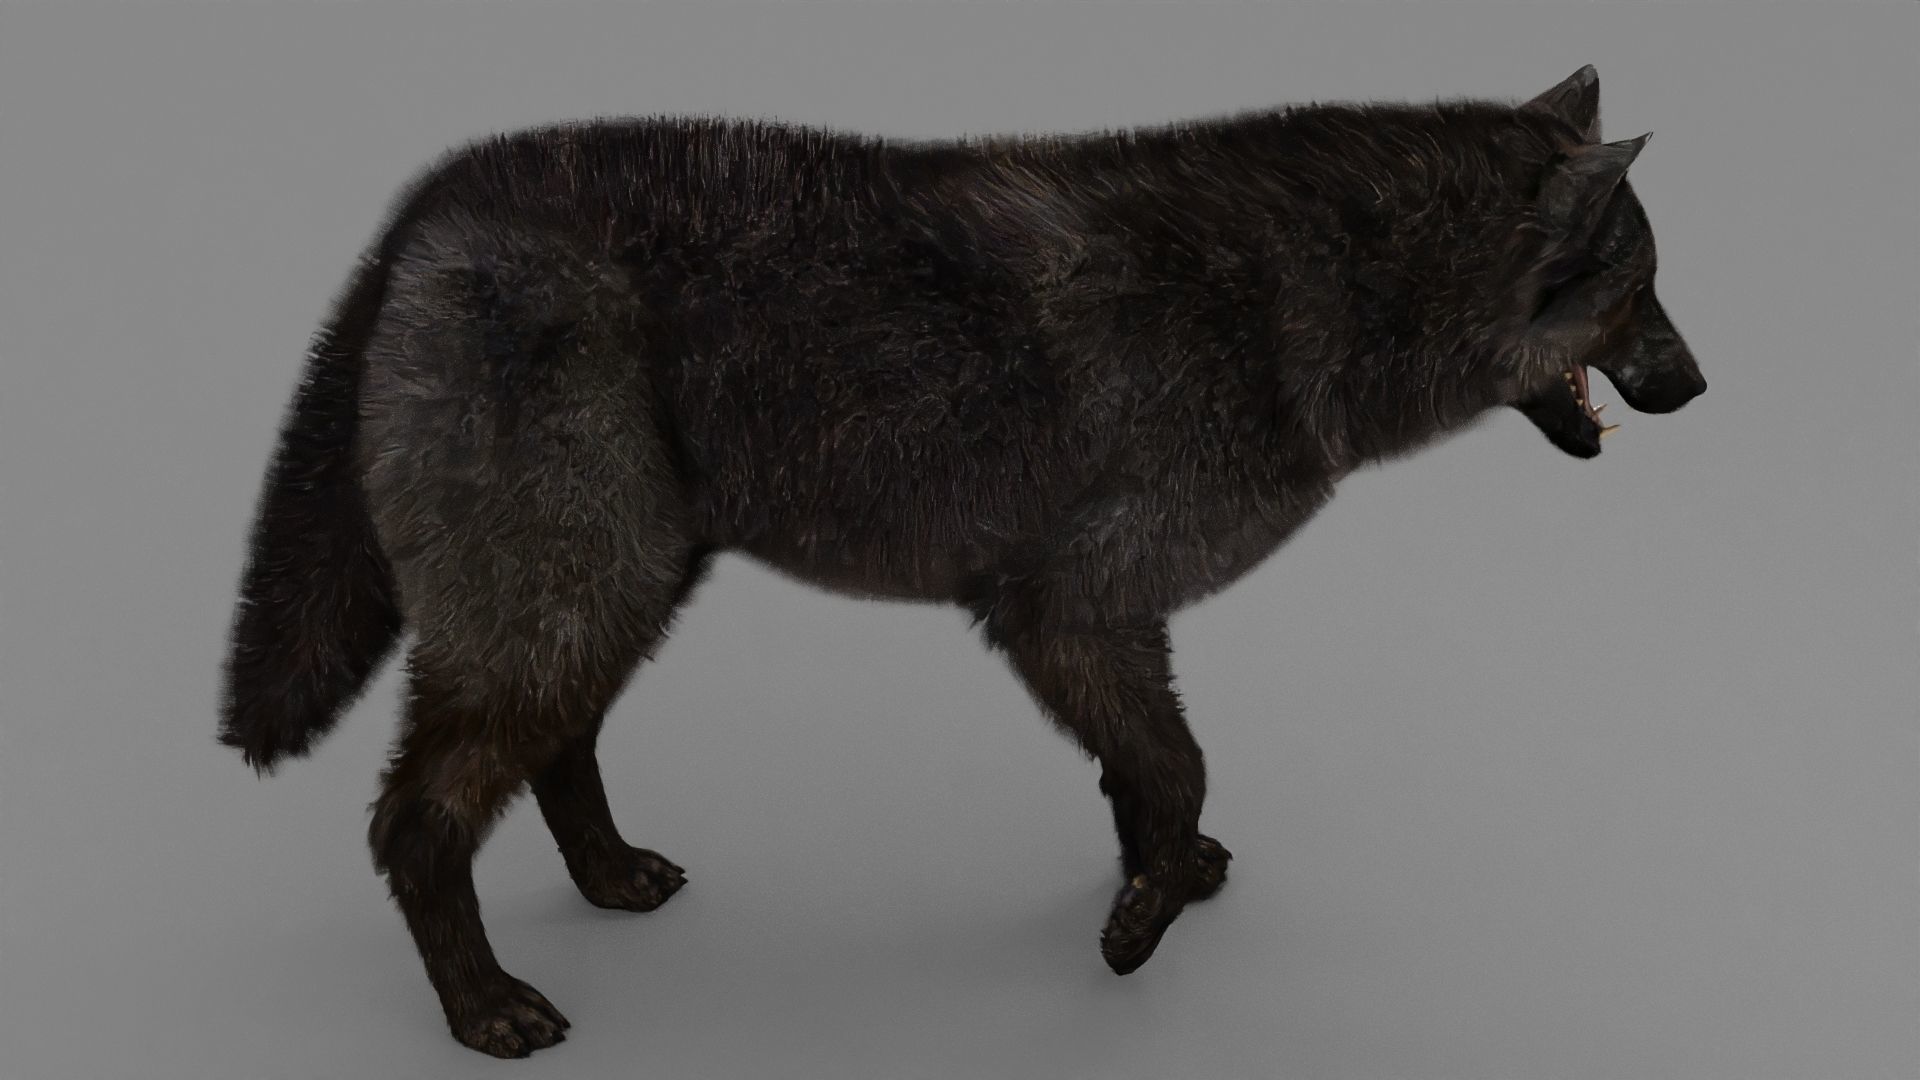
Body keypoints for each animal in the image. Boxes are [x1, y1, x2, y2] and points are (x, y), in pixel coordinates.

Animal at [219, 66, 1705, 1056]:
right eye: (1637, 293)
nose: (1697, 385)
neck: (1308, 297)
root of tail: (435, 201)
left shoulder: (1113, 623)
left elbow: (1143, 776)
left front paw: (1160, 877)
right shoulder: (1064, 610)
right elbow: (1177, 764)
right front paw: (1137, 928)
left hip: (613, 596)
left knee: (557, 750)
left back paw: (612, 880)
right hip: (577, 599)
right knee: (415, 818)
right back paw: (485, 1010)